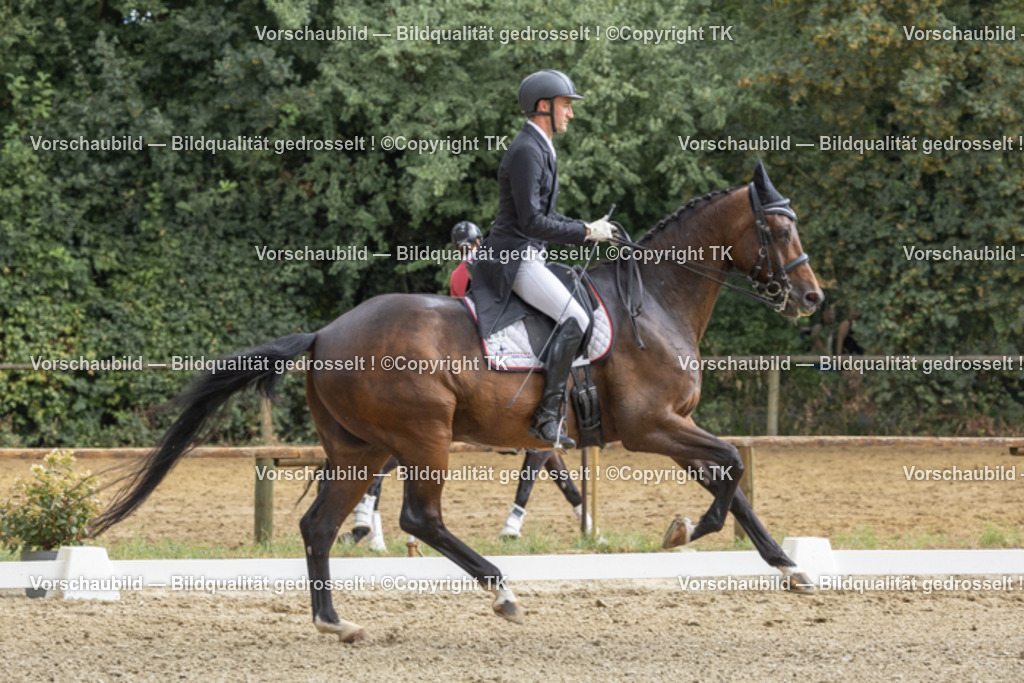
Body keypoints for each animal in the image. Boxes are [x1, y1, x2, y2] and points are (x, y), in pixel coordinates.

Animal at [91, 161, 824, 643]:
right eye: (779, 230)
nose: (812, 297)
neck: (658, 301)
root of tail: (326, 333)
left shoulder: (673, 424)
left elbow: (730, 474)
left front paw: (788, 566)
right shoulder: (653, 426)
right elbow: (731, 466)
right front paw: (688, 531)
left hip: (363, 446)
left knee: (320, 524)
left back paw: (335, 621)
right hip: (424, 436)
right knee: (420, 517)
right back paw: (500, 590)